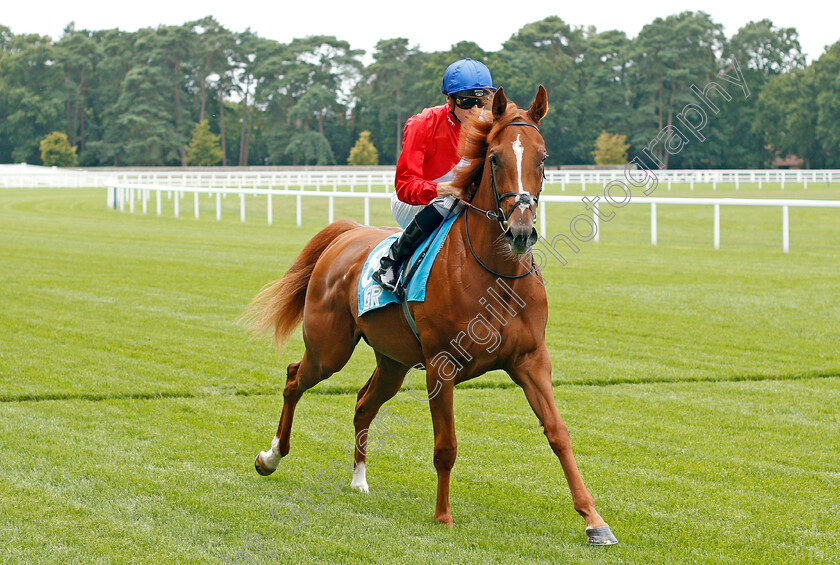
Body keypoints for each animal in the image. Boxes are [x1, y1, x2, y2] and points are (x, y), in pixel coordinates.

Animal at [243, 87, 616, 540]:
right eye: (495, 158)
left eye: (542, 157)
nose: (521, 232)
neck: (497, 275)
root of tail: (348, 233)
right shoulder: (442, 364)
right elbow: (446, 445)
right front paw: (443, 515)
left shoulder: (531, 359)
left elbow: (559, 434)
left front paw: (594, 520)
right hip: (329, 348)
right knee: (295, 378)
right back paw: (271, 457)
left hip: (393, 360)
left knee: (363, 403)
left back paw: (359, 479)